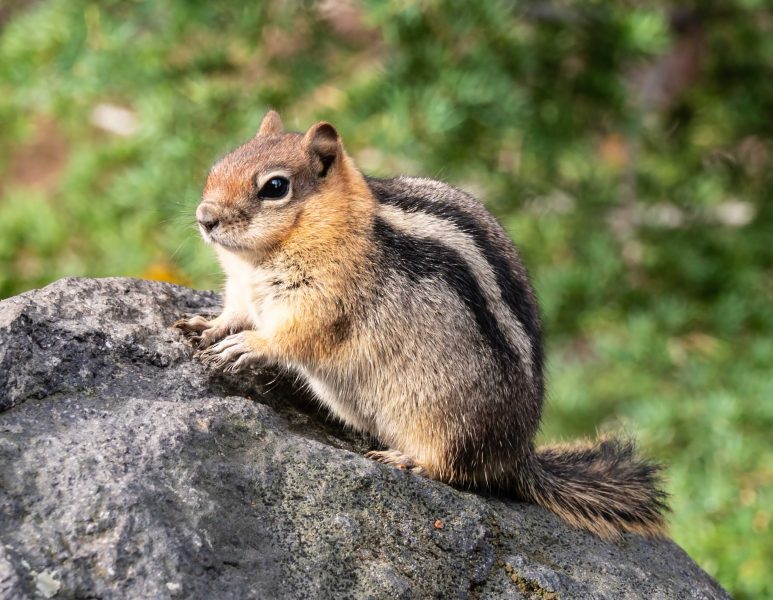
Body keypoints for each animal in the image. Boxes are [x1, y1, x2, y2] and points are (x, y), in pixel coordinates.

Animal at [174, 110, 668, 540]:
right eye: (219, 165)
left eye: (275, 187)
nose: (204, 218)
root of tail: (517, 452)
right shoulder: (242, 291)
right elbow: (232, 313)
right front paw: (204, 325)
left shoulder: (325, 300)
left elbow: (294, 336)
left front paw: (248, 345)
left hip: (447, 422)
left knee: (458, 471)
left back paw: (408, 462)